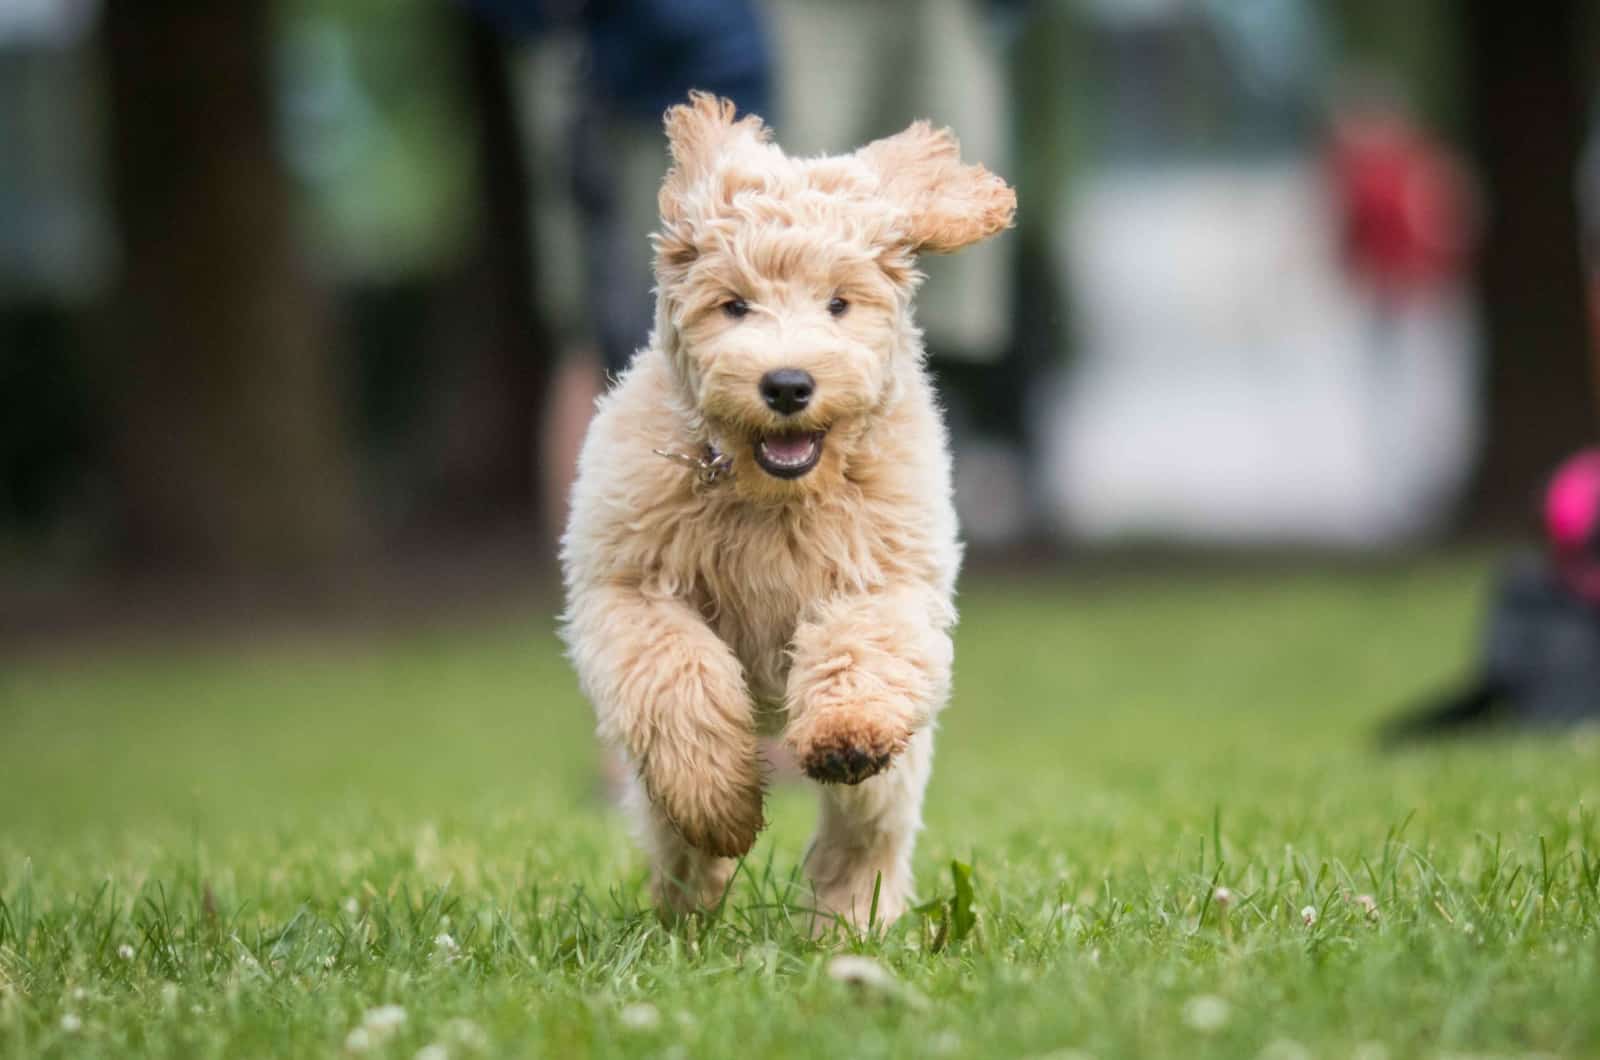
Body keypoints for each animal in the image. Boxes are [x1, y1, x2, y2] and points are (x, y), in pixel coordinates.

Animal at [563, 95, 1011, 935]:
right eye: (733, 305)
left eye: (839, 303)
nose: (787, 384)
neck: (769, 495)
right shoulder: (629, 590)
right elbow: (678, 677)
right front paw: (717, 800)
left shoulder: (887, 579)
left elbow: (861, 646)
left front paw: (844, 732)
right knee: (671, 829)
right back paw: (689, 903)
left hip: (893, 770)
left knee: (863, 833)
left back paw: (849, 921)